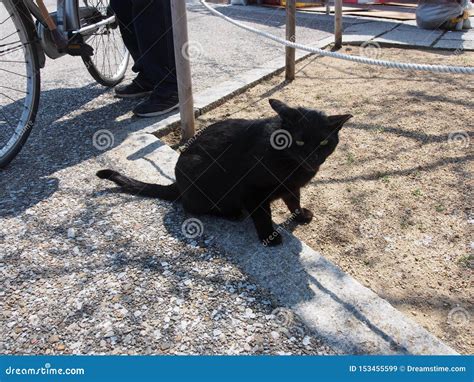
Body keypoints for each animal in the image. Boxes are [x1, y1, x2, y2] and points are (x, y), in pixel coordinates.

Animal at [96, 99, 350, 245]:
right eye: (299, 142)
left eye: (324, 142)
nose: (312, 158)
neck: (291, 164)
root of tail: (177, 182)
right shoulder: (252, 191)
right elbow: (262, 215)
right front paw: (269, 237)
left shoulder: (292, 186)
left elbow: (293, 202)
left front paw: (300, 215)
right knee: (191, 207)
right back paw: (232, 213)